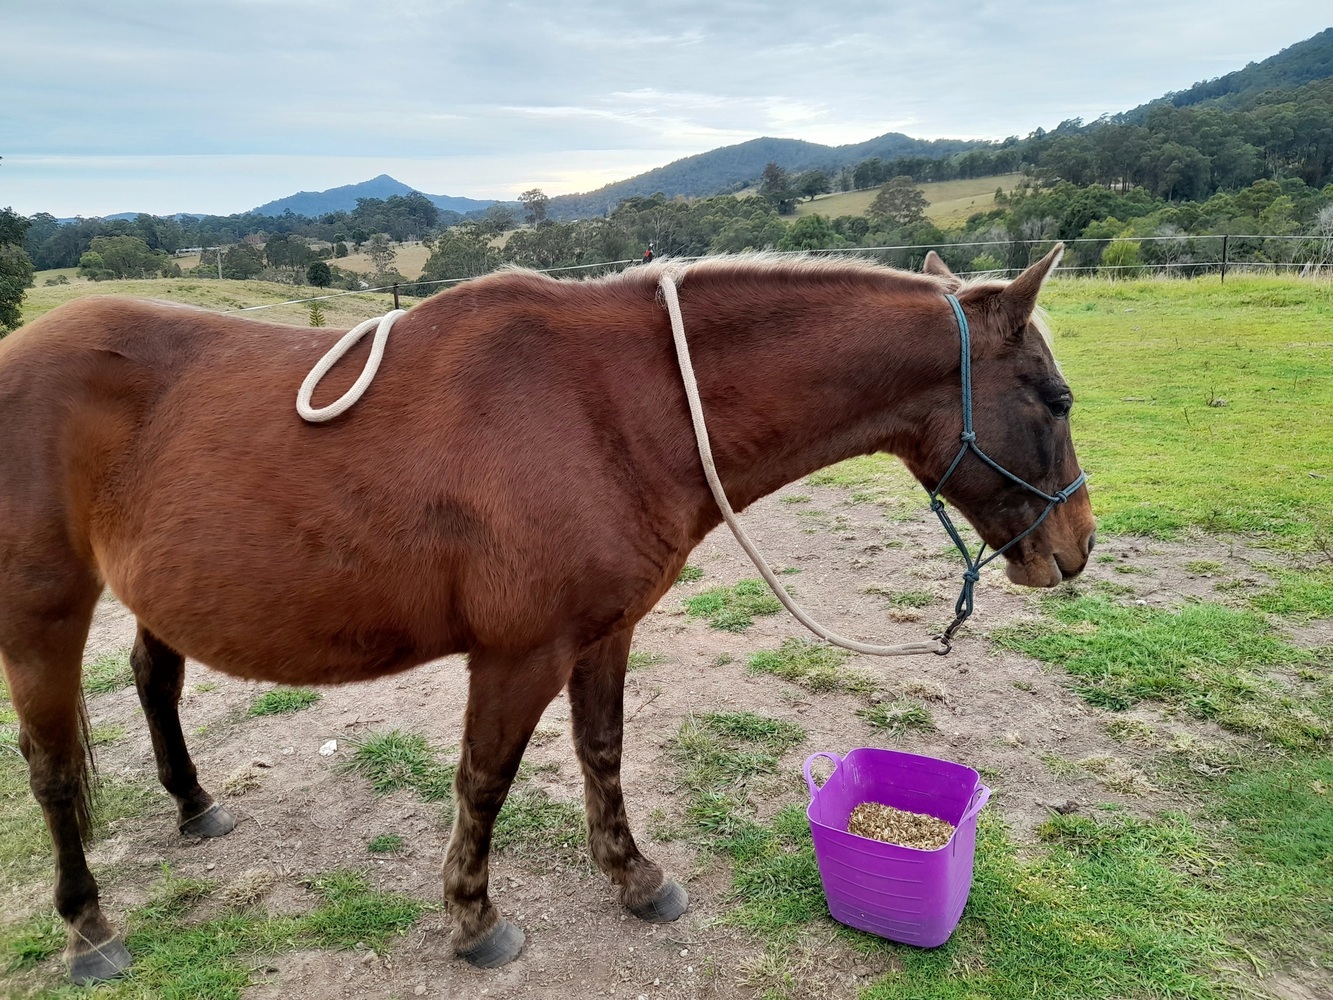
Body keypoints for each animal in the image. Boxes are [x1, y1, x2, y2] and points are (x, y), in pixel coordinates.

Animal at [0, 245, 1094, 983]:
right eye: (1055, 396)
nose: (1077, 544)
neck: (614, 405)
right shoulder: (517, 654)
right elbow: (483, 782)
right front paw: (474, 920)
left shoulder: (602, 633)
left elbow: (600, 752)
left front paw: (634, 876)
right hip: (42, 618)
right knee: (51, 772)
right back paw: (89, 929)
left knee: (155, 684)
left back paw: (194, 805)